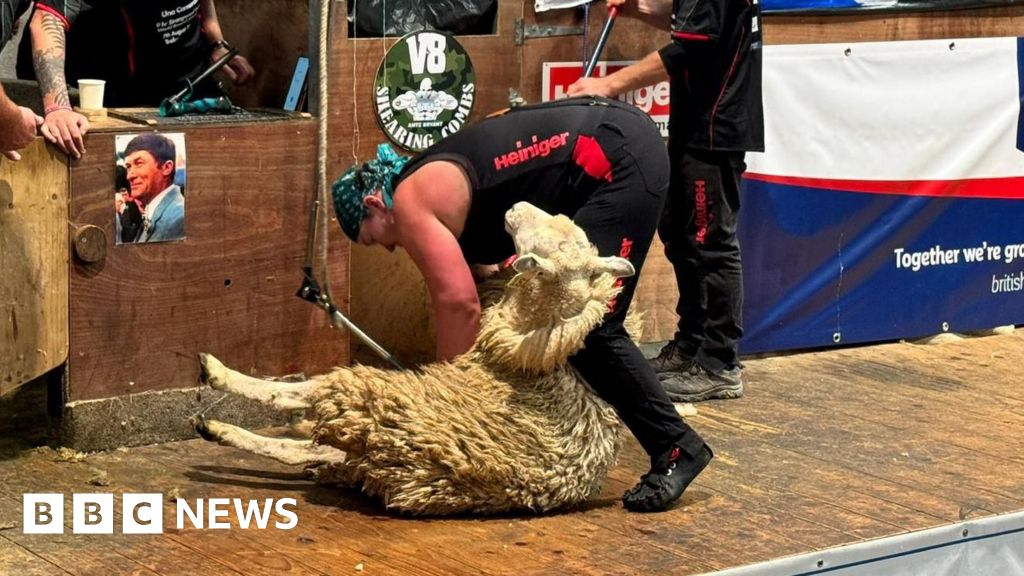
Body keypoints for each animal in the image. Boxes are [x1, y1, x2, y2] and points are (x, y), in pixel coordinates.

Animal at [191, 202, 634, 516]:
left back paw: (218, 401)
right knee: (307, 447)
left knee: (299, 408)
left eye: (540, 243)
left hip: (370, 400)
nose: (515, 207)